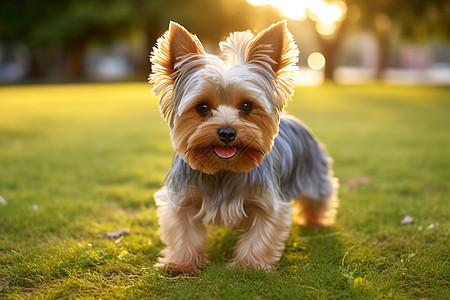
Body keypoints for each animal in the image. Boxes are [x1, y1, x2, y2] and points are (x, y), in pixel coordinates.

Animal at [149, 19, 338, 276]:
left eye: (247, 106)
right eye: (202, 107)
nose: (227, 132)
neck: (223, 169)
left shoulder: (267, 199)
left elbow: (263, 232)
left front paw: (248, 265)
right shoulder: (182, 196)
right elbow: (182, 230)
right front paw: (181, 263)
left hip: (313, 172)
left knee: (319, 197)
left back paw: (316, 221)